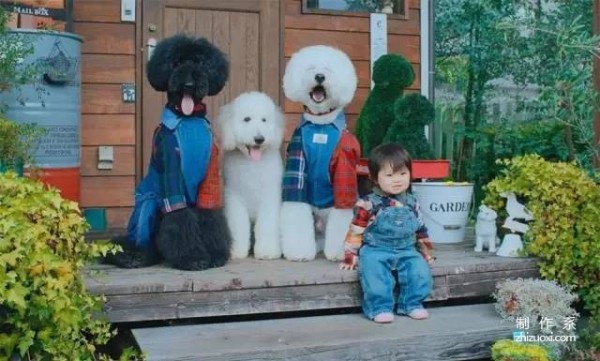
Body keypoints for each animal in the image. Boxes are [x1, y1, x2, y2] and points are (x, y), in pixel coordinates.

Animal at [218, 91, 286, 258]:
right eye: (247, 119)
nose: (259, 139)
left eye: (264, 120)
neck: (252, 164)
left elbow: (267, 225)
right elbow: (239, 225)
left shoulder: (269, 197)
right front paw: (236, 251)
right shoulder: (234, 198)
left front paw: (267, 251)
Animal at [282, 45, 360, 262]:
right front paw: (299, 252)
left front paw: (339, 252)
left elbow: (342, 211)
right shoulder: (297, 161)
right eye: (310, 68)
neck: (321, 125)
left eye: (328, 69)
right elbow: (296, 202)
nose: (319, 76)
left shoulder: (344, 166)